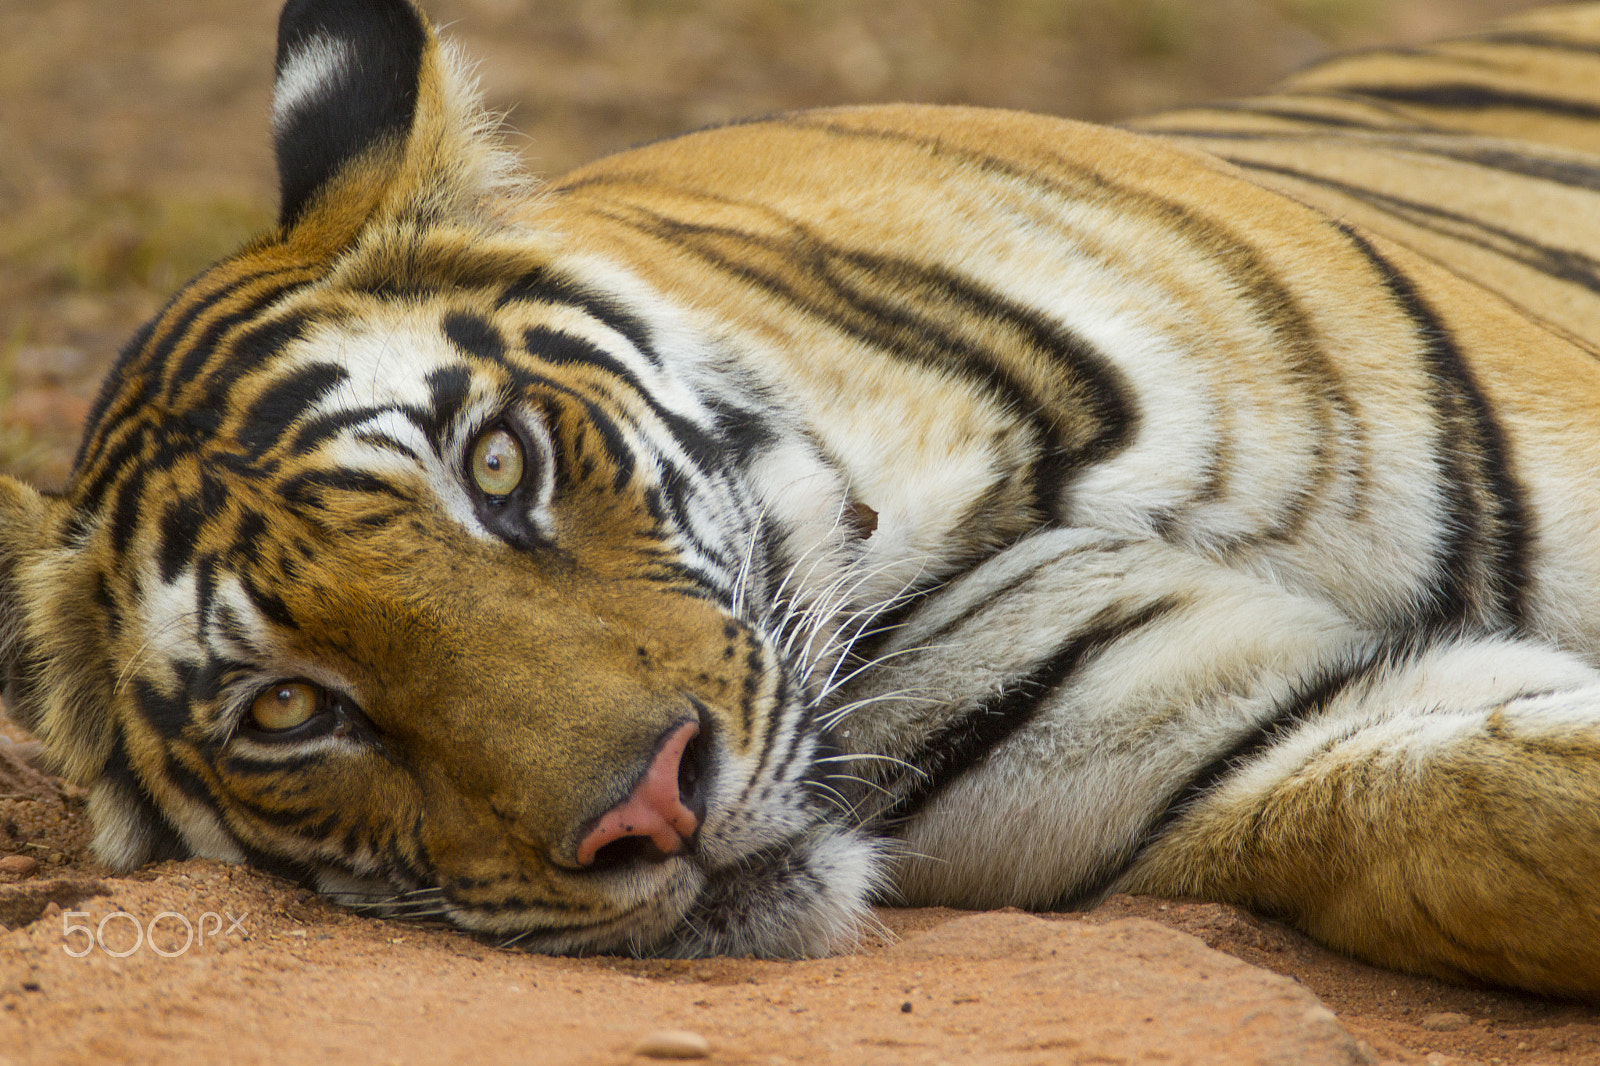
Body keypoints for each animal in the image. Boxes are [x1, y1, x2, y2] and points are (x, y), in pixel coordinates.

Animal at [3, 0, 1600, 985]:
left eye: (499, 465)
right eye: (288, 708)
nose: (650, 811)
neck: (898, 531)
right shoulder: (1250, 732)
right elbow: (1480, 827)